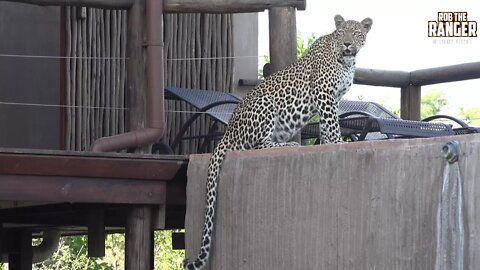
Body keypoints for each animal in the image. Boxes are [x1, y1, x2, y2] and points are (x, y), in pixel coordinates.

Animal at [182, 15, 374, 270]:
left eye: (356, 33)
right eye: (342, 33)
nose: (347, 44)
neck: (346, 60)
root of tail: (227, 133)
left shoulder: (333, 98)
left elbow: (326, 126)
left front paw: (327, 144)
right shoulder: (324, 93)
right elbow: (332, 124)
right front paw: (338, 143)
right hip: (265, 105)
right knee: (258, 145)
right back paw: (291, 145)